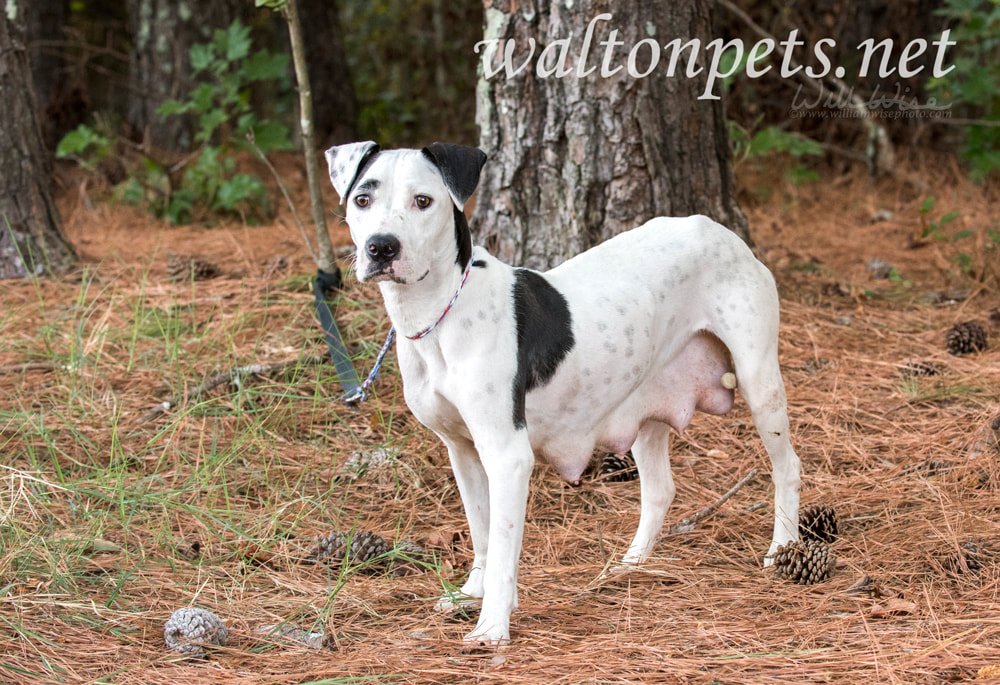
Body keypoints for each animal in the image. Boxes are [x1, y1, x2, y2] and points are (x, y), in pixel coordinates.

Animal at [324, 140, 800, 648]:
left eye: (423, 201)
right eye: (362, 199)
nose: (381, 246)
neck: (441, 313)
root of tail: (715, 228)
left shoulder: (507, 455)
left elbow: (504, 544)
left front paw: (492, 626)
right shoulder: (462, 451)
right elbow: (483, 534)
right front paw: (472, 594)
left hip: (760, 383)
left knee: (787, 468)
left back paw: (782, 550)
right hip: (648, 404)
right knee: (660, 490)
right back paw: (630, 566)